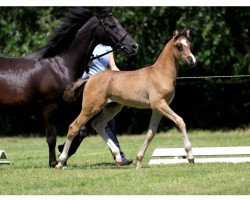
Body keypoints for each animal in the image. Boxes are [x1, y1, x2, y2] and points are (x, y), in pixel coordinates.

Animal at [0, 7, 139, 167]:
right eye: (112, 26)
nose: (134, 46)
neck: (60, 66)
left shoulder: (72, 106)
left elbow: (81, 130)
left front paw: (63, 155)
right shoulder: (49, 107)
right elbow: (52, 137)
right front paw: (55, 162)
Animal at [56, 28, 197, 169]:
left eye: (189, 45)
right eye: (179, 46)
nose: (192, 61)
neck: (160, 73)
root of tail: (90, 79)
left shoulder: (157, 108)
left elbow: (151, 133)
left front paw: (139, 160)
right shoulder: (159, 104)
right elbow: (180, 121)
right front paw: (190, 156)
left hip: (112, 107)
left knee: (98, 124)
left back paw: (118, 158)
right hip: (90, 107)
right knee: (74, 127)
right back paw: (60, 162)